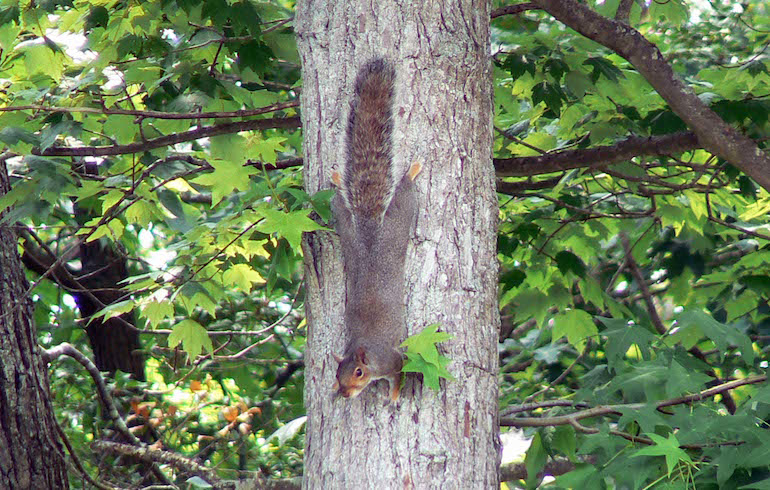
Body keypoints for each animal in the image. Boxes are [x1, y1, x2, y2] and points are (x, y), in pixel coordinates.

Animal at [328, 58, 416, 402]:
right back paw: (337, 181)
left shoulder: (394, 359)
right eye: (336, 373)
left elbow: (400, 376)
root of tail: (367, 232)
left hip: (397, 226)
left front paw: (394, 395)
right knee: (340, 206)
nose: (344, 394)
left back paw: (412, 174)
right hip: (347, 234)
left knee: (405, 196)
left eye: (358, 372)